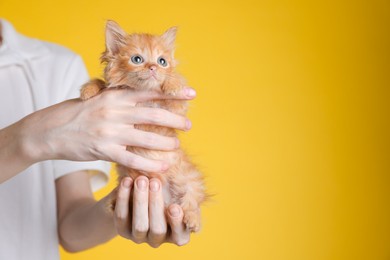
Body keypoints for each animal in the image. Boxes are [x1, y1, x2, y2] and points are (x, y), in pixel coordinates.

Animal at [80, 20, 206, 232]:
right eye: (137, 59)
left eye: (162, 61)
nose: (154, 67)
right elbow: (101, 83)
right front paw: (88, 90)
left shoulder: (176, 110)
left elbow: (176, 88)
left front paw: (172, 85)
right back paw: (113, 203)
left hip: (187, 178)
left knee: (191, 199)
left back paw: (192, 219)